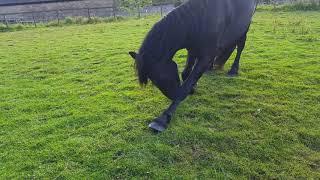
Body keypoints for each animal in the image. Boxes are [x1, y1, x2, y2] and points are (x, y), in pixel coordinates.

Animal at [129, 0, 256, 132]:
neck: (200, 20)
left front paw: (162, 119)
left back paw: (233, 70)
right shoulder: (192, 49)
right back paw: (211, 68)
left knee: (240, 46)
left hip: (244, 28)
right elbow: (186, 74)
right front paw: (193, 87)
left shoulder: (205, 57)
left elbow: (186, 84)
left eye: (161, 77)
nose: (173, 95)